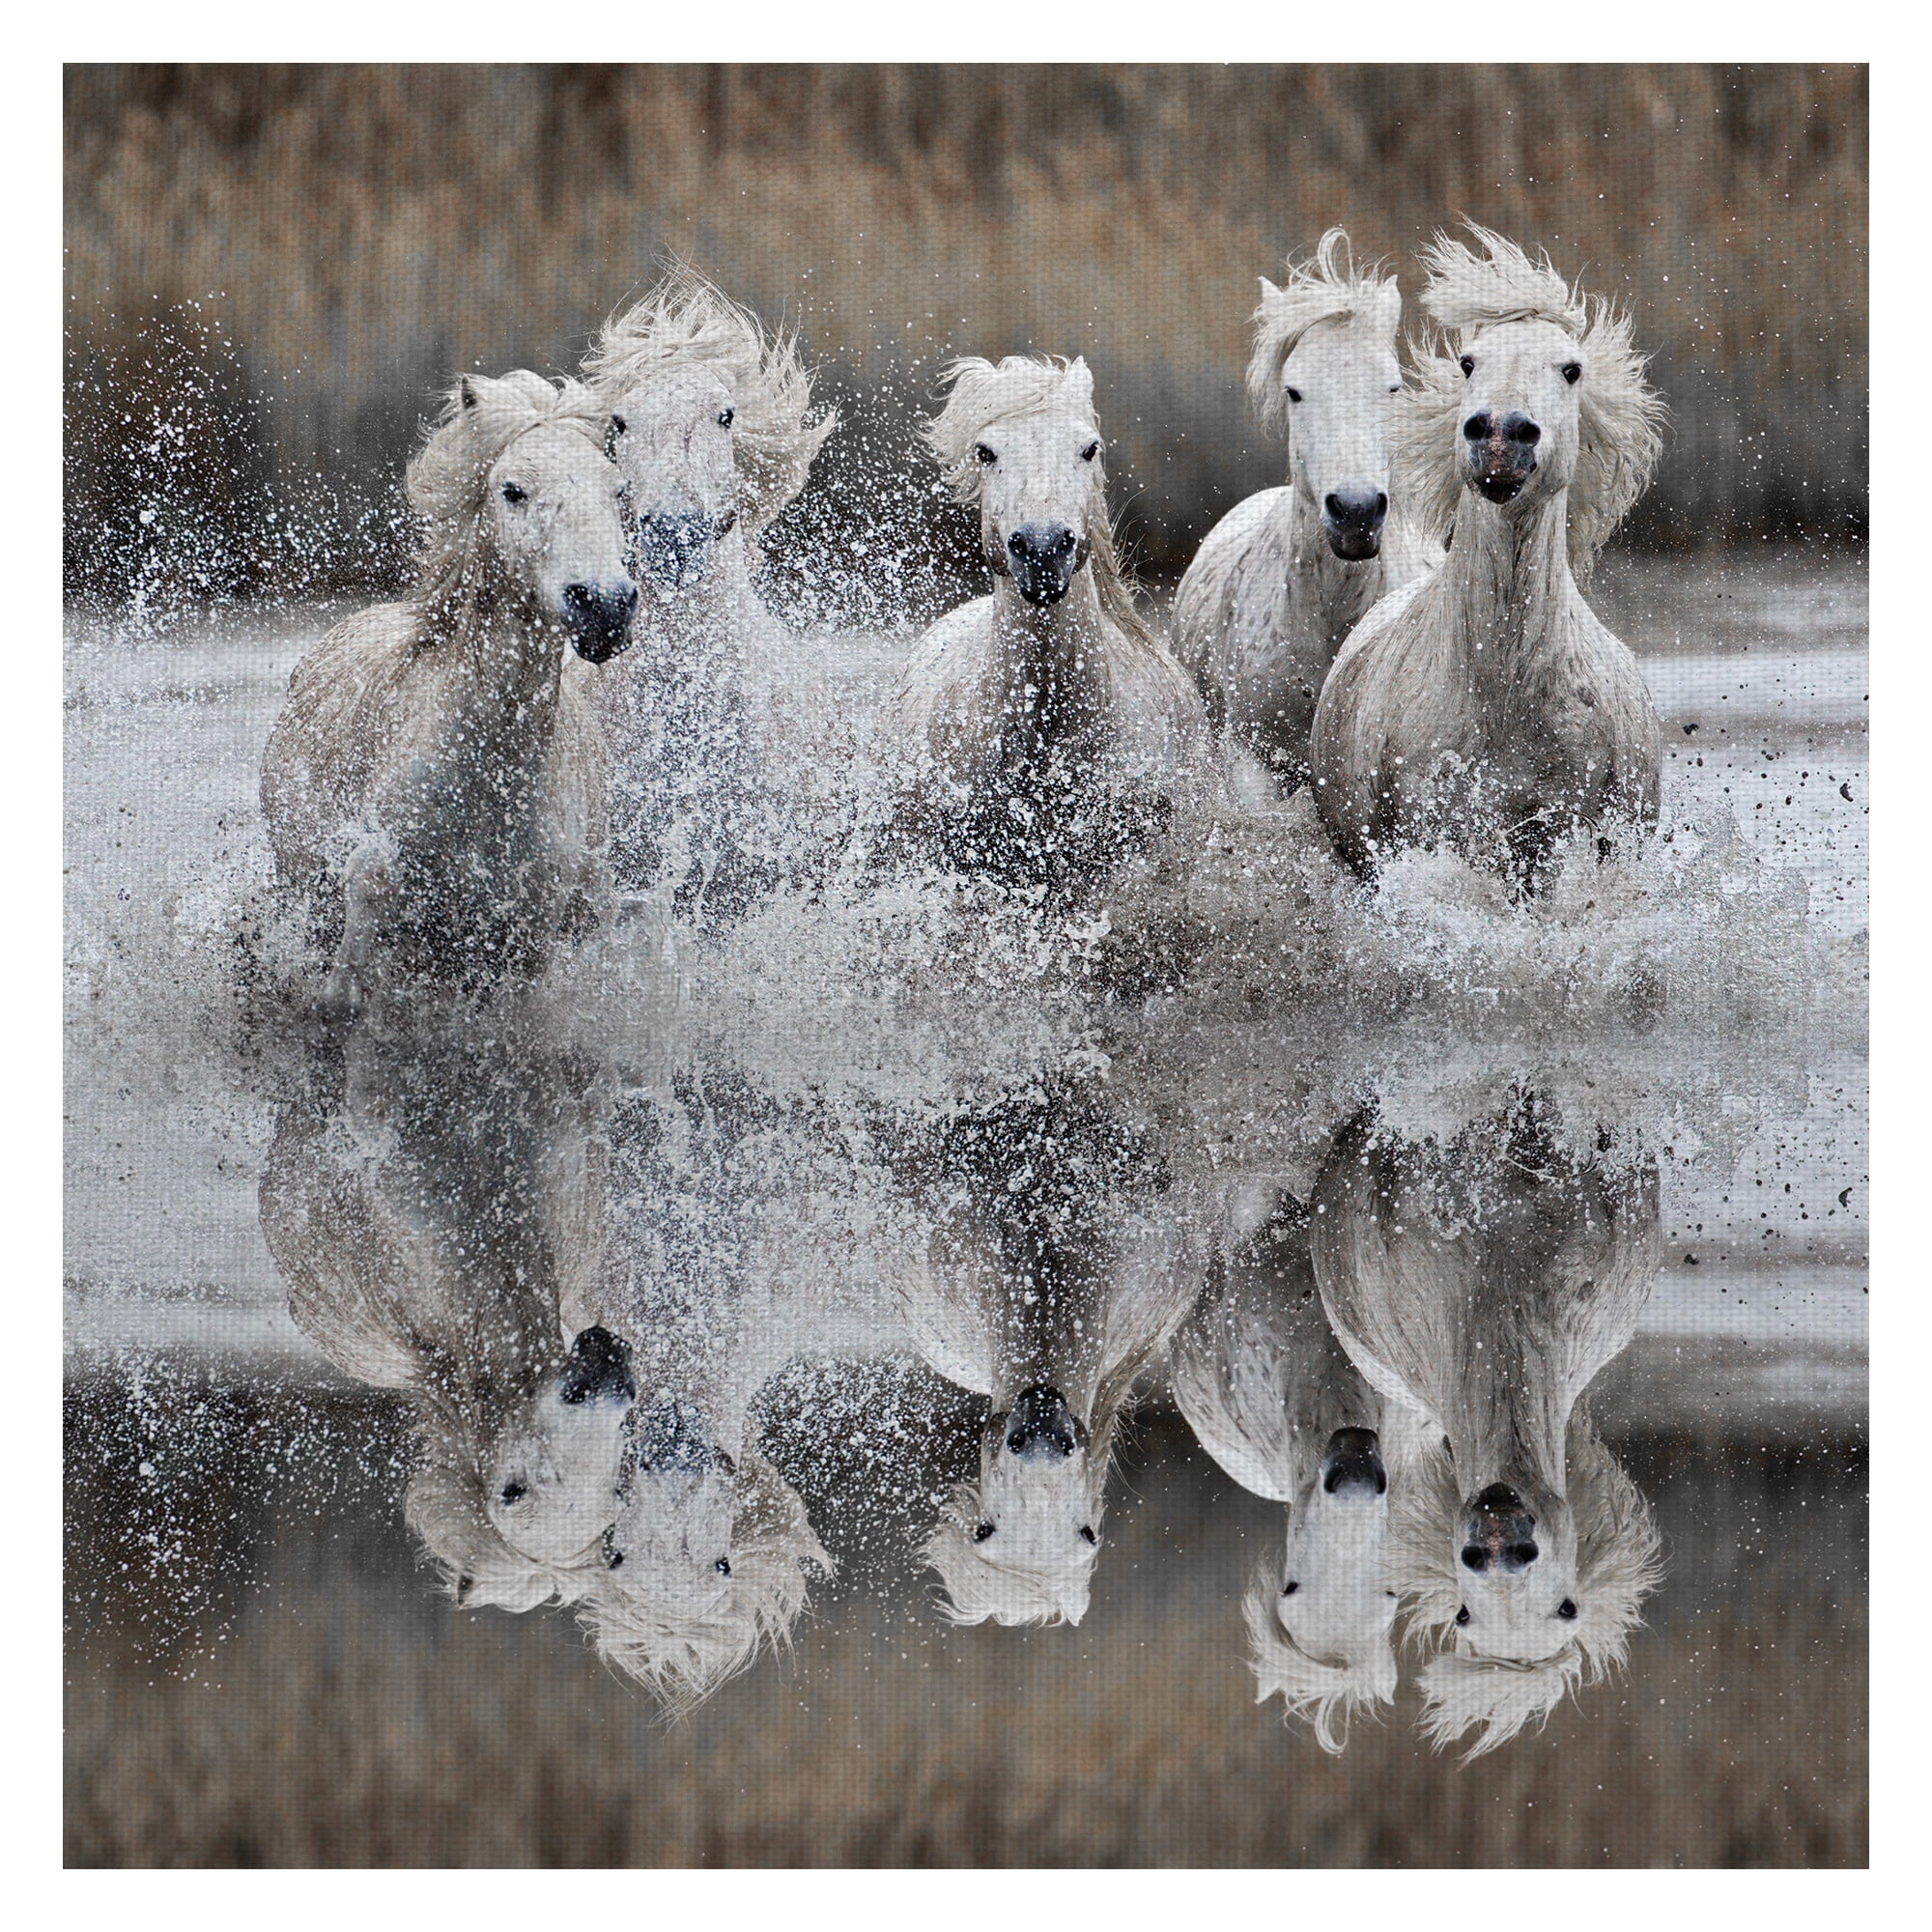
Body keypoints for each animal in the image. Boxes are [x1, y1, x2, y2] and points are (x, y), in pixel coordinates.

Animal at [1309, 225, 1666, 894]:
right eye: (1469, 362)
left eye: (1572, 369)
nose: (1500, 434)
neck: (1501, 691)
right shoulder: (1430, 827)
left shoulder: (1555, 835)